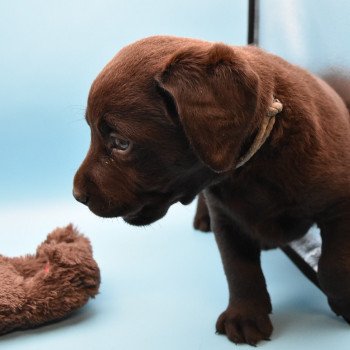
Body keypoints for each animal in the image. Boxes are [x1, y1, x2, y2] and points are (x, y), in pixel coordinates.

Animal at [73, 34, 350, 344]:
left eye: (121, 143)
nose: (77, 195)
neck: (254, 166)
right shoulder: (226, 216)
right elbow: (239, 268)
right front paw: (245, 316)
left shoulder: (340, 204)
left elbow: (334, 265)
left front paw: (345, 301)